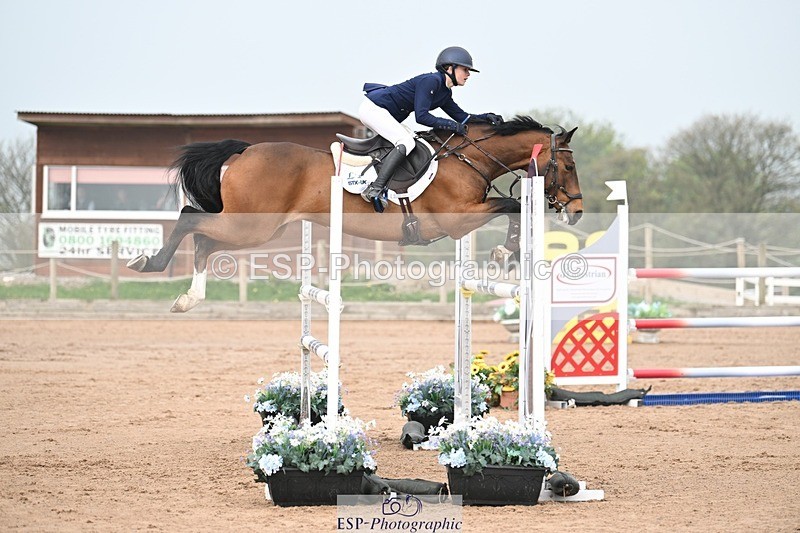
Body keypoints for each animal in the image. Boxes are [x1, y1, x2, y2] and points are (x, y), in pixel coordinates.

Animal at [127, 116, 583, 312]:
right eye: (568, 165)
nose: (577, 211)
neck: (468, 158)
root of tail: (244, 152)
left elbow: (510, 206)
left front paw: (508, 253)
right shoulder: (456, 218)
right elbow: (511, 206)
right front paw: (506, 253)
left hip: (258, 230)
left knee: (204, 239)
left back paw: (188, 298)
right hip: (251, 225)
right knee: (190, 218)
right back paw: (149, 262)